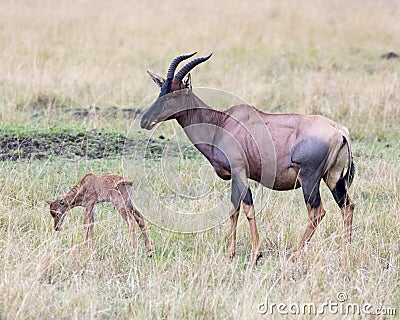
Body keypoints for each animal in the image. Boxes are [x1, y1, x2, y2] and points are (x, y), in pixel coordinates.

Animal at [140, 52, 354, 262]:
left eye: (175, 93)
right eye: (161, 91)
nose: (145, 121)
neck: (222, 123)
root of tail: (340, 131)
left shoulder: (239, 170)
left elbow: (247, 207)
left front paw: (256, 253)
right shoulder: (235, 175)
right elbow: (233, 210)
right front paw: (230, 253)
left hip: (309, 179)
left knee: (317, 212)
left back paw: (295, 254)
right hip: (333, 177)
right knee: (347, 206)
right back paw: (346, 251)